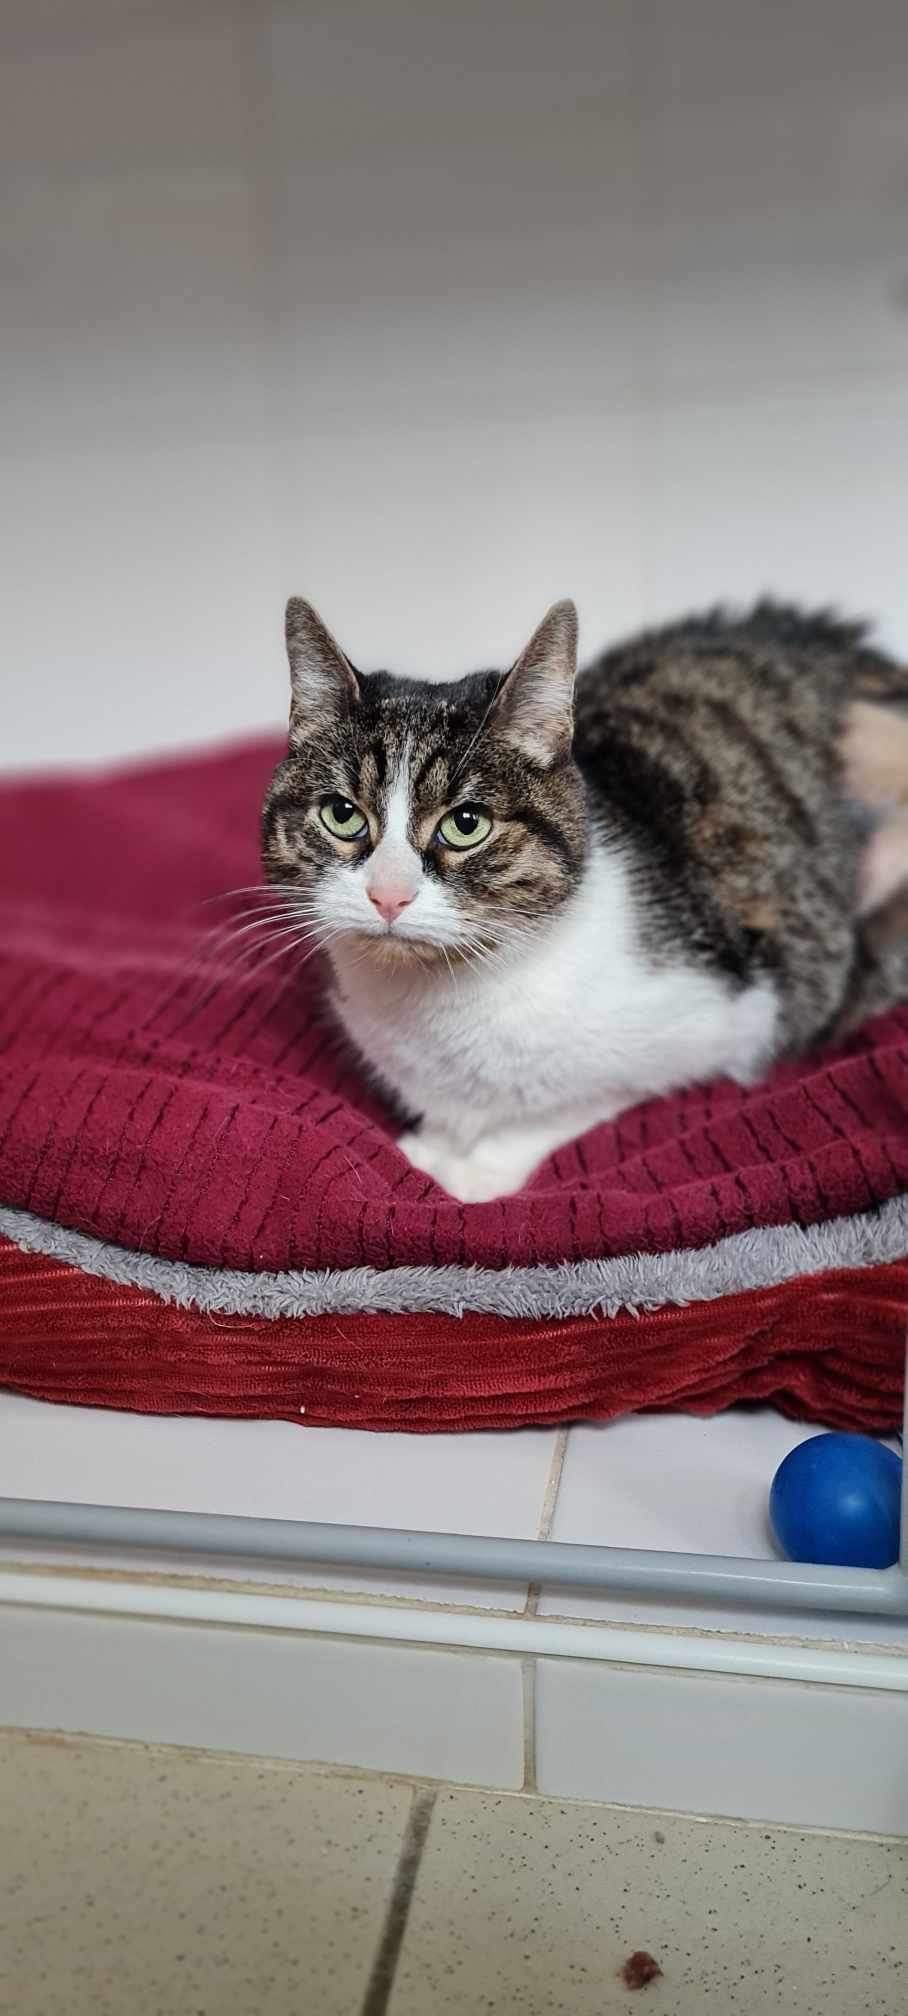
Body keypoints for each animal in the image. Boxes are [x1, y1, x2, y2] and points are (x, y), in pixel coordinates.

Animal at [261, 595, 908, 1202]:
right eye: (342, 815)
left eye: (466, 824)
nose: (387, 895)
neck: (439, 1008)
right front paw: (434, 1144)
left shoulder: (730, 1021)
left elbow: (574, 1101)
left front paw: (469, 1168)